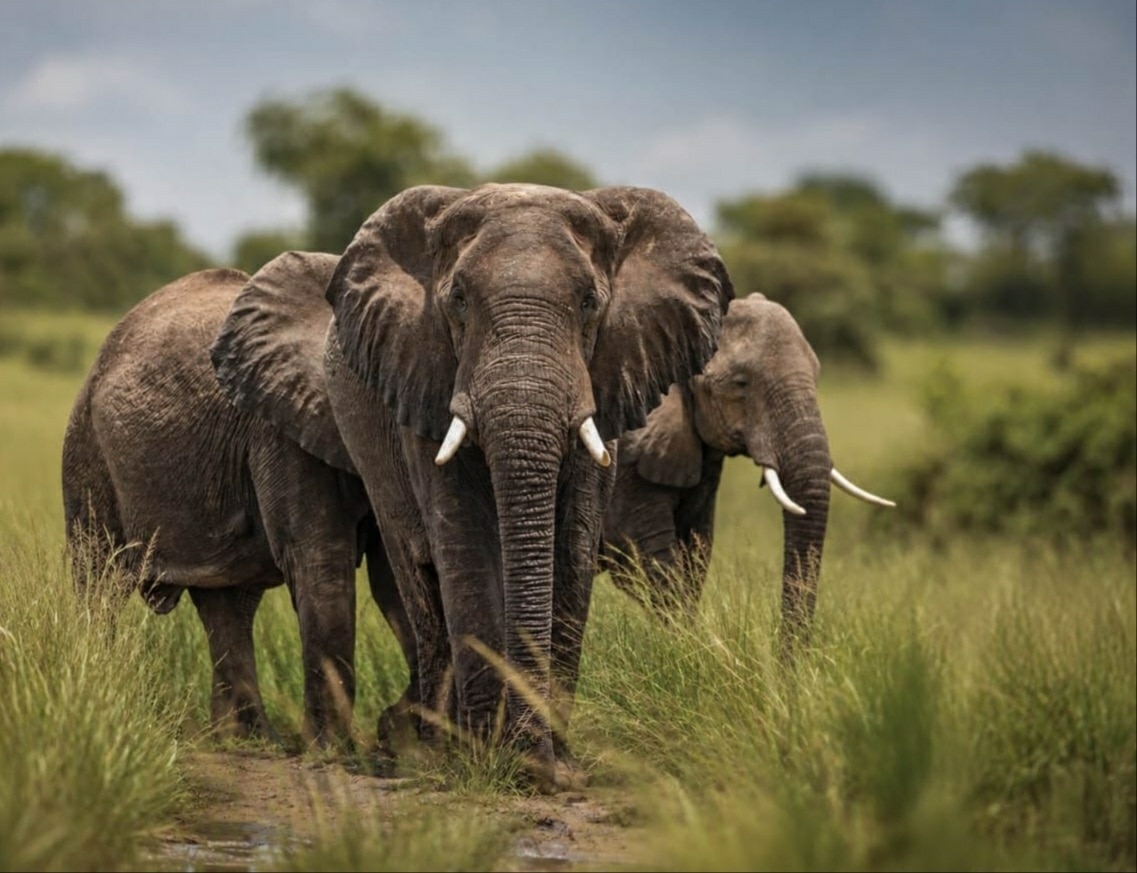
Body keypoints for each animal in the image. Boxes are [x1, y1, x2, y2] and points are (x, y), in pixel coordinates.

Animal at [61, 257, 395, 747]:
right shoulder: (279, 428)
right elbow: (321, 560)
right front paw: (335, 750)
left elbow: (397, 572)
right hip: (87, 448)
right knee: (99, 582)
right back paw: (100, 698)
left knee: (229, 604)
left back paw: (246, 739)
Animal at [210, 183, 733, 789]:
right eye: (457, 300)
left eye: (589, 303)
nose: (536, 764)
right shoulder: (424, 382)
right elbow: (465, 550)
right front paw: (491, 760)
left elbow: (572, 551)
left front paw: (557, 767)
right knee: (419, 574)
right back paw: (435, 748)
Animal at [600, 293, 894, 639]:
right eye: (741, 384)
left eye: (818, 374)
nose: (786, 656)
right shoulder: (626, 457)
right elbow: (642, 556)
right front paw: (688, 644)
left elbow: (696, 551)